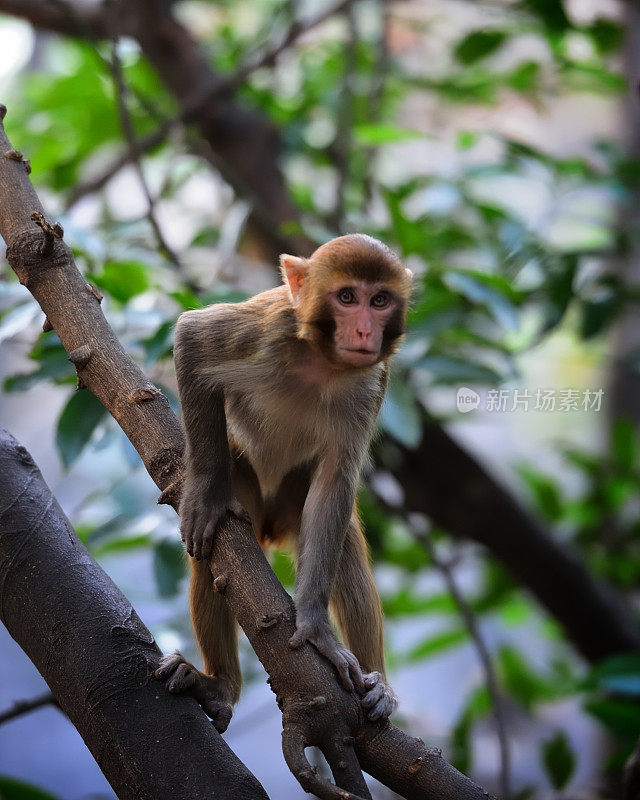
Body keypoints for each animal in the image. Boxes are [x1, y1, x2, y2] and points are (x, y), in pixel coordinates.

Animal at [158, 231, 412, 732]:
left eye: (379, 300)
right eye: (347, 297)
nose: (364, 332)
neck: (322, 360)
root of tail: (271, 525)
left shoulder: (371, 382)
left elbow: (336, 482)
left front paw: (315, 628)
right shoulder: (267, 331)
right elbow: (193, 336)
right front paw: (207, 491)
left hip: (294, 498)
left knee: (342, 543)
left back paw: (380, 686)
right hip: (249, 492)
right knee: (213, 560)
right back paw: (219, 685)